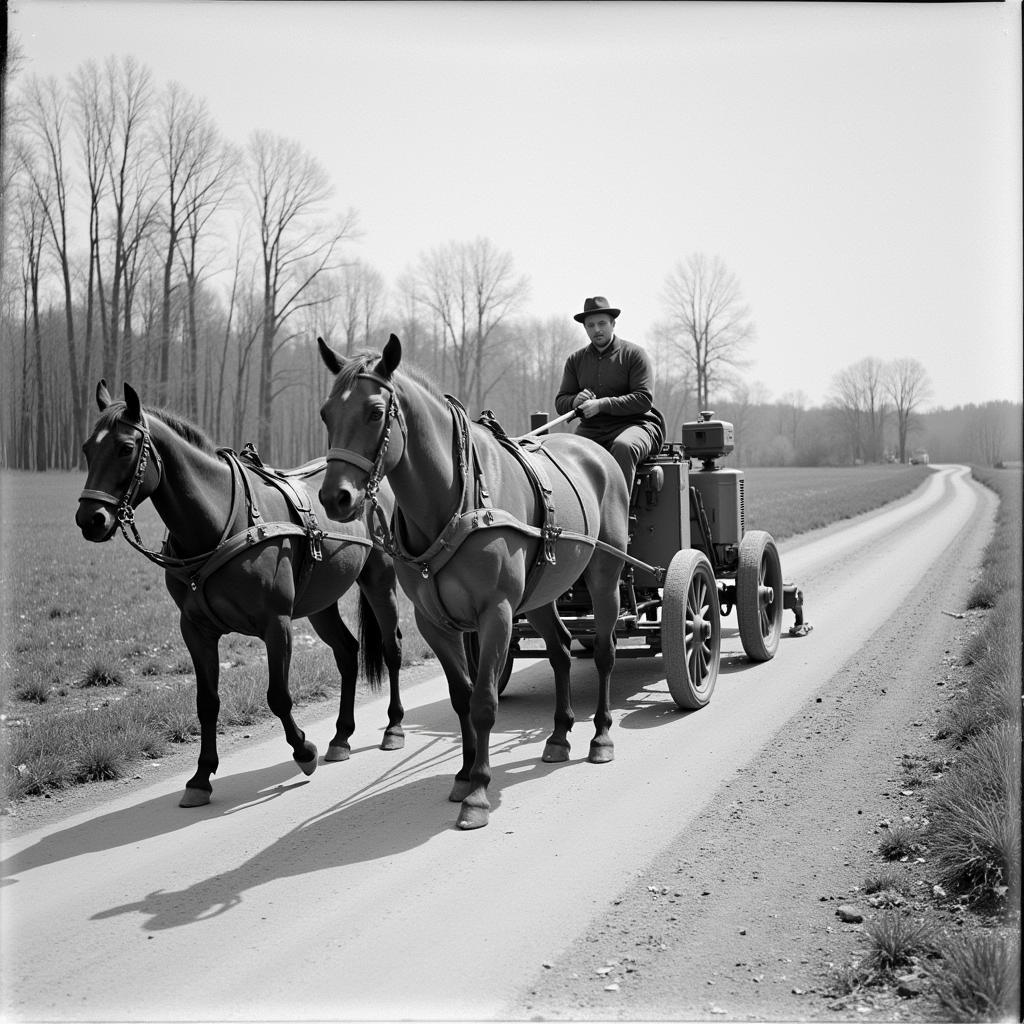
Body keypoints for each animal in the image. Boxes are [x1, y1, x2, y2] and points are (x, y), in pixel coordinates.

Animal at [74, 378, 403, 806]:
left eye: (125, 448)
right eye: (87, 448)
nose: (90, 519)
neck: (219, 524)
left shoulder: (276, 624)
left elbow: (278, 695)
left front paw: (303, 751)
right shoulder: (196, 630)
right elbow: (207, 703)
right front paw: (200, 776)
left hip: (381, 580)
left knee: (392, 648)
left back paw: (393, 728)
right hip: (321, 602)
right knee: (347, 653)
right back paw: (341, 737)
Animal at [317, 335, 630, 831]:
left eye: (374, 411)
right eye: (327, 413)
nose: (334, 498)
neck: (456, 500)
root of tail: (597, 453)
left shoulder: (496, 613)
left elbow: (484, 702)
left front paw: (479, 791)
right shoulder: (435, 622)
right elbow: (461, 697)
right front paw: (464, 775)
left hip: (604, 577)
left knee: (603, 652)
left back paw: (600, 735)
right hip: (540, 594)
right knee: (561, 650)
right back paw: (559, 736)